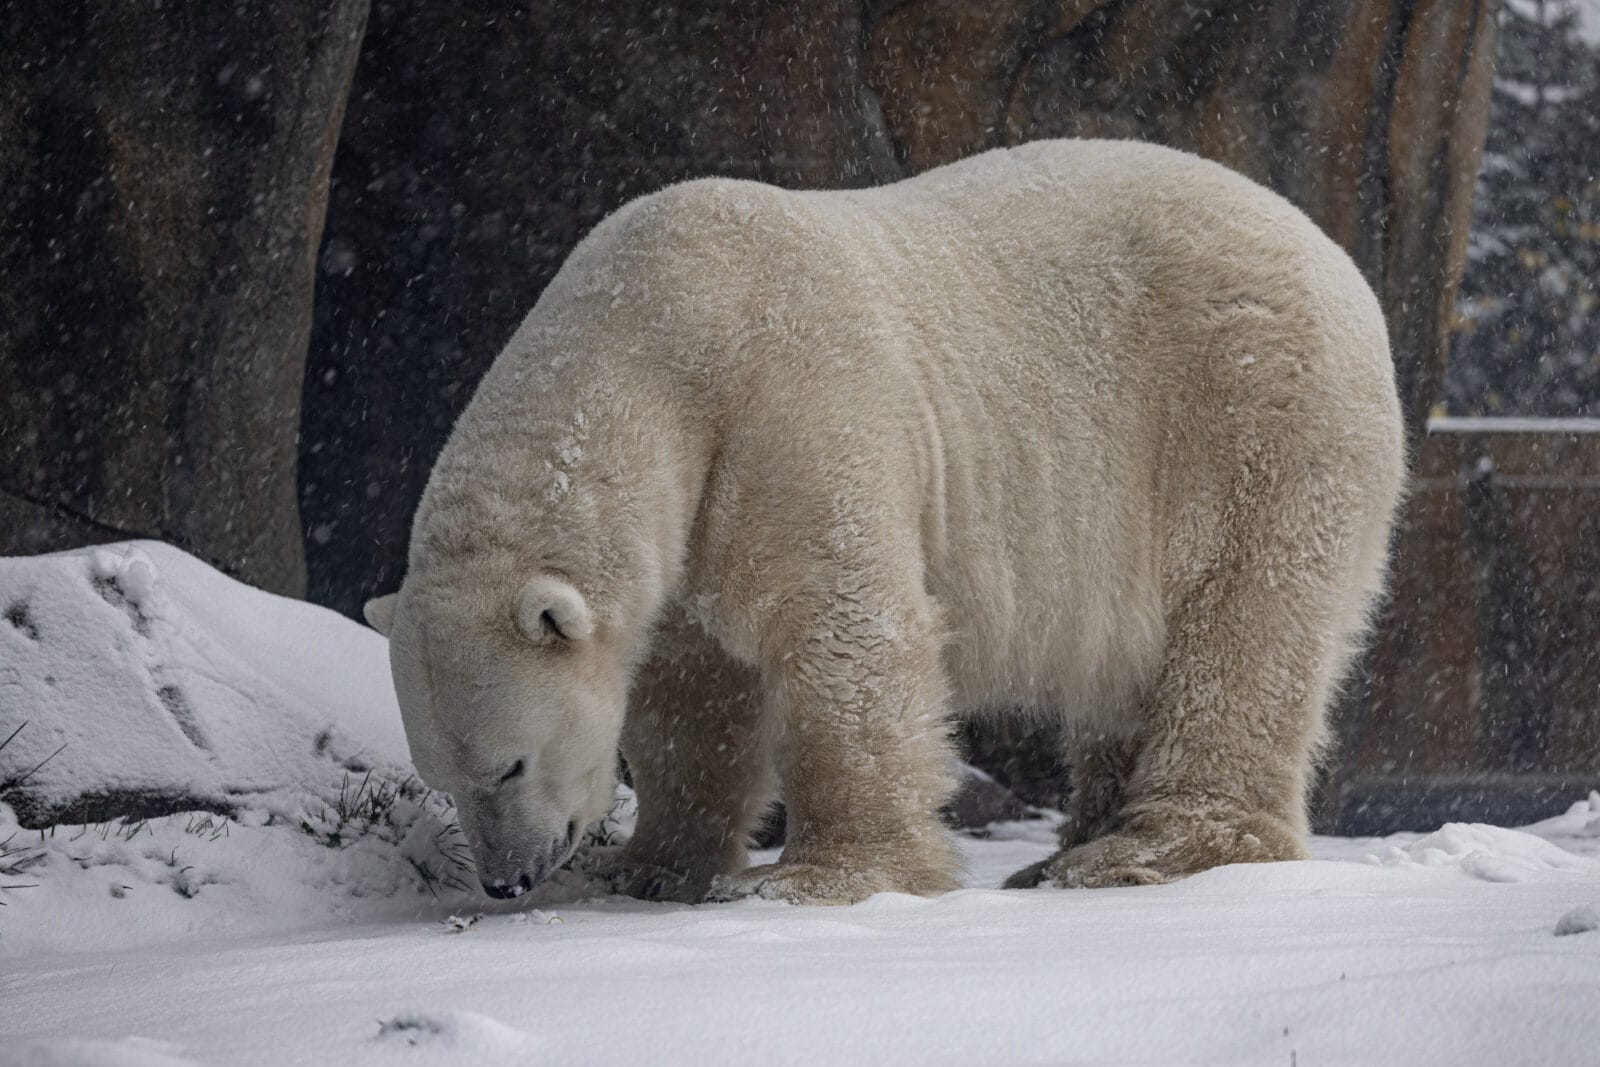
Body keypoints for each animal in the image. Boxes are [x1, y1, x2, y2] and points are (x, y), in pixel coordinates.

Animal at [363, 138, 1406, 906]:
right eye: (440, 777)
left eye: (508, 765)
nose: (509, 880)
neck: (655, 335)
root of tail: (1339, 262)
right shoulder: (689, 528)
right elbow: (694, 694)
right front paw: (647, 868)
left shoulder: (786, 408)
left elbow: (846, 633)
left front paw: (817, 878)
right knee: (1128, 672)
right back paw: (1067, 846)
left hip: (1248, 416)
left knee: (1239, 632)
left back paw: (1149, 849)